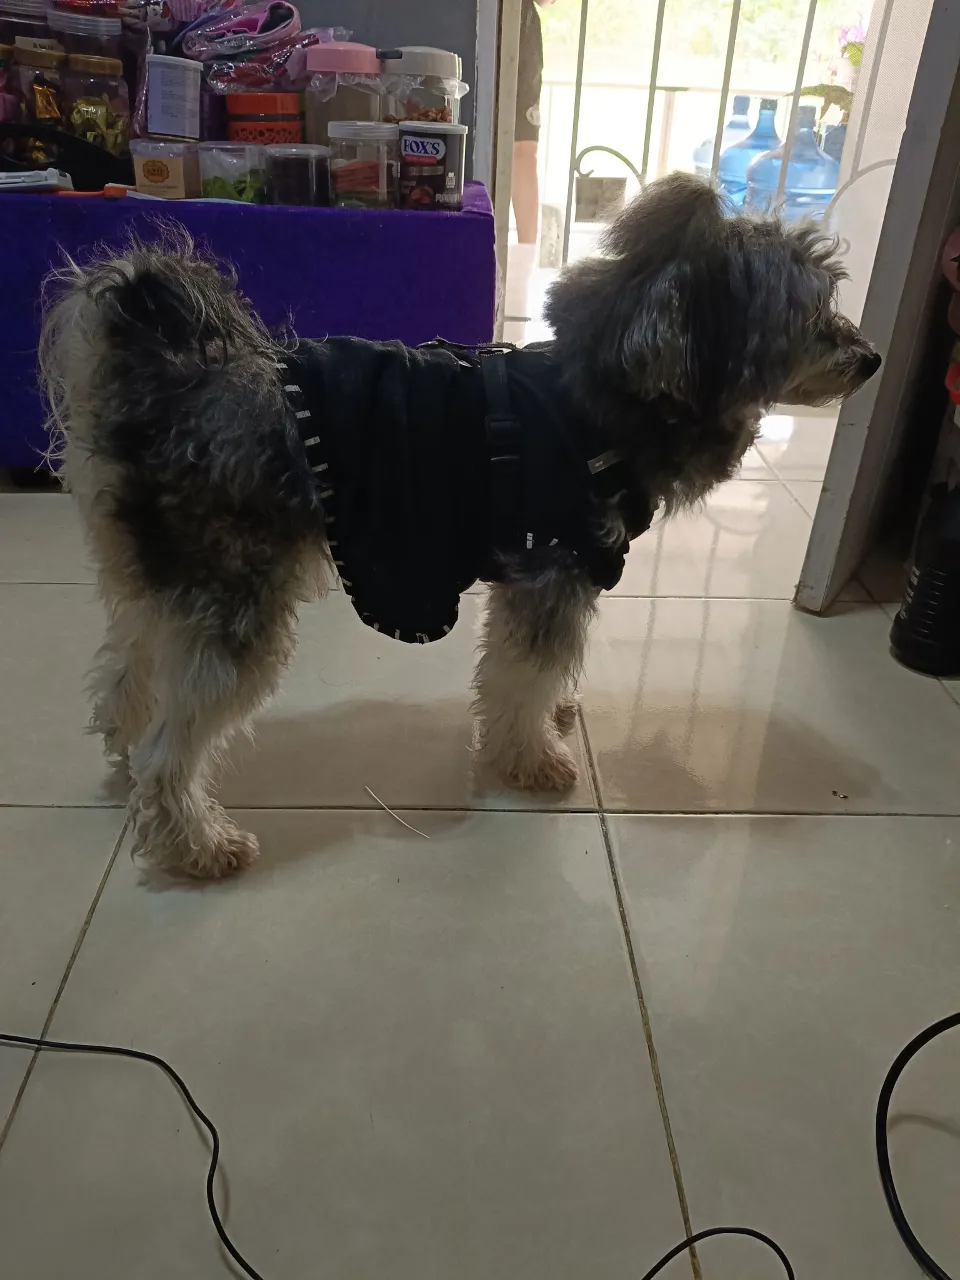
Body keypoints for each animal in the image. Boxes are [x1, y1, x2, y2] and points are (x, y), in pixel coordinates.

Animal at [39, 175, 880, 875]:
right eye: (810, 314)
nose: (871, 358)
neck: (612, 391)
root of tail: (167, 380)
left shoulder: (547, 576)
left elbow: (533, 674)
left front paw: (555, 714)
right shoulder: (554, 570)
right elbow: (521, 677)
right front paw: (531, 756)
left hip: (169, 582)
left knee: (127, 670)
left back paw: (124, 750)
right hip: (233, 598)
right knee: (171, 749)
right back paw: (194, 843)